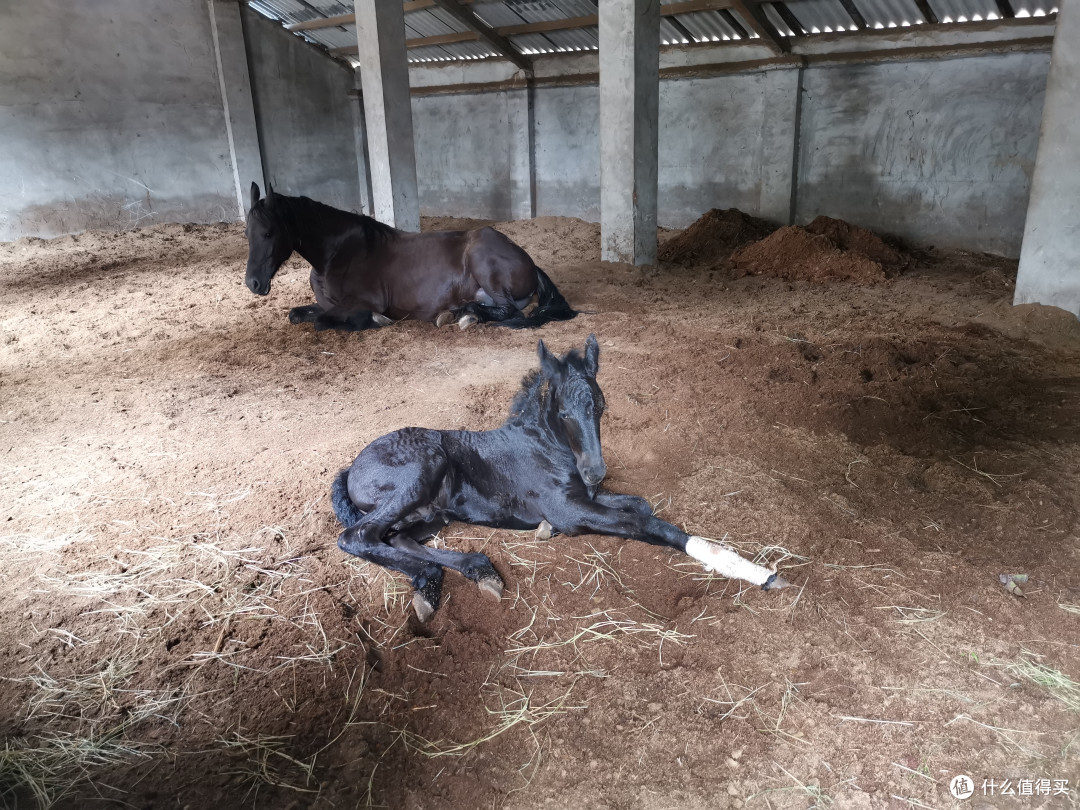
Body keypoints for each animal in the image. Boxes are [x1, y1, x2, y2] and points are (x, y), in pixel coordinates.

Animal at [244, 183, 578, 332]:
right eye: (247, 232)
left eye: (269, 233)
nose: (253, 283)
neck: (337, 255)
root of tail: (529, 262)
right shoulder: (328, 304)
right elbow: (298, 314)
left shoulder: (361, 302)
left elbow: (325, 321)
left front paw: (375, 320)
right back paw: (457, 313)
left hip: (485, 267)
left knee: (511, 312)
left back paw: (464, 316)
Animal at [331, 334, 790, 621]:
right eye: (565, 413)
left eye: (602, 406)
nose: (595, 471)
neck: (548, 446)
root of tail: (352, 466)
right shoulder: (569, 508)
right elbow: (645, 524)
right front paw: (754, 570)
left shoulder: (585, 496)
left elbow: (640, 504)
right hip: (420, 474)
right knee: (358, 536)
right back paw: (435, 581)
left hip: (433, 513)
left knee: (397, 539)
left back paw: (469, 573)